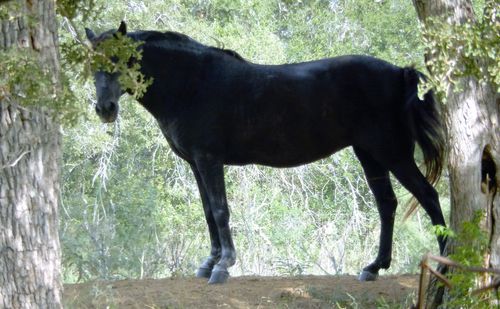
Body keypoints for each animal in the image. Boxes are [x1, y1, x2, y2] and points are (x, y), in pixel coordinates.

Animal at [85, 21, 446, 284]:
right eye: (92, 63)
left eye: (119, 59)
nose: (105, 109)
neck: (192, 83)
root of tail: (400, 72)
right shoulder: (195, 164)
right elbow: (208, 212)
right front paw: (209, 263)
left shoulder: (209, 160)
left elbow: (220, 211)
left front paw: (224, 266)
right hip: (369, 154)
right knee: (387, 204)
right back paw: (373, 267)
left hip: (392, 153)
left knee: (428, 196)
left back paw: (445, 265)